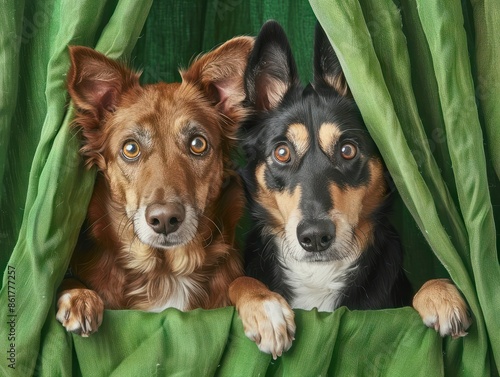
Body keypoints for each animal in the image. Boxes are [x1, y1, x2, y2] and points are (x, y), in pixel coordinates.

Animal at [56, 39, 294, 356]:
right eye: (130, 148)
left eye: (198, 144)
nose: (165, 220)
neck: (165, 272)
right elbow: (65, 280)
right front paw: (78, 295)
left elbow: (242, 279)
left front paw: (266, 305)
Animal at [240, 19, 470, 338]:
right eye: (282, 152)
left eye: (347, 150)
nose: (315, 237)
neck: (318, 276)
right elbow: (239, 282)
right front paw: (264, 307)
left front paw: (441, 295)